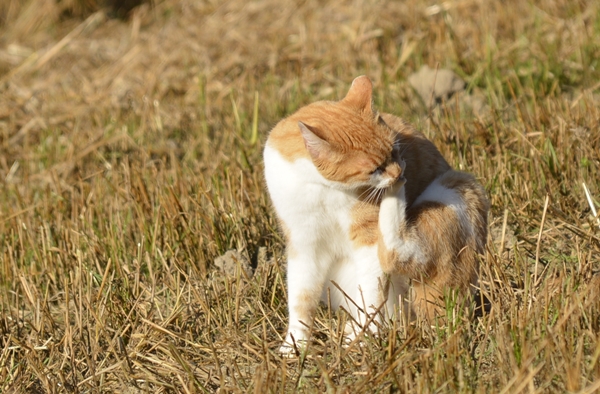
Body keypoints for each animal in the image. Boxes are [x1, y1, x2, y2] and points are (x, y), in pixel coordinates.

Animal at [262, 75, 488, 356]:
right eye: (374, 169)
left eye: (394, 151)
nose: (399, 171)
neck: (322, 189)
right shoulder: (304, 245)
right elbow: (300, 298)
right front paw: (295, 344)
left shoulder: (368, 240)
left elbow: (370, 291)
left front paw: (366, 334)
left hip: (455, 188)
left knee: (398, 253)